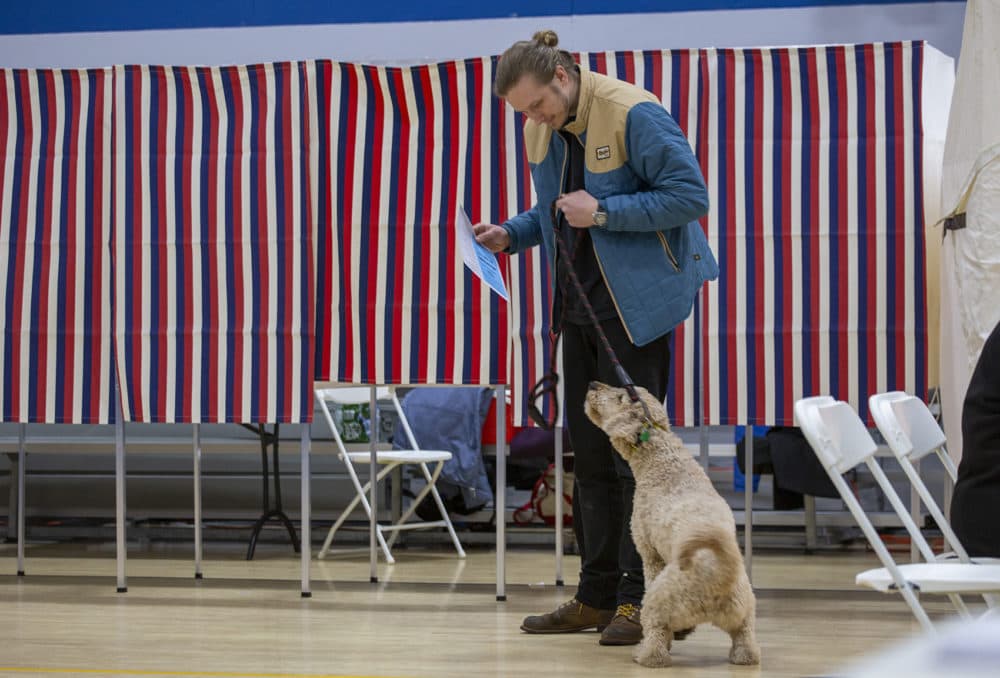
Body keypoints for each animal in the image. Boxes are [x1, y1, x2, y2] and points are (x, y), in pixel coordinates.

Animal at [584, 382, 760, 668]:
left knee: (656, 635)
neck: (662, 460)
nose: (592, 384)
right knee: (746, 641)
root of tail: (720, 573)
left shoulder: (650, 554)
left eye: (620, 396)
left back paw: (645, 654)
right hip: (744, 610)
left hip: (659, 599)